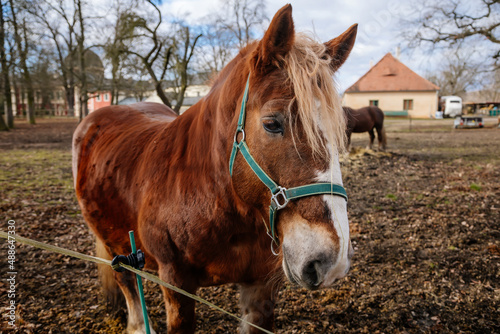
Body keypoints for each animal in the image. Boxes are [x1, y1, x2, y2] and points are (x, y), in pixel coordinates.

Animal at [72, 5, 358, 334]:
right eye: (272, 123)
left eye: (341, 130)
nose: (330, 259)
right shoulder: (176, 285)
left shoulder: (260, 287)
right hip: (111, 240)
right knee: (126, 279)